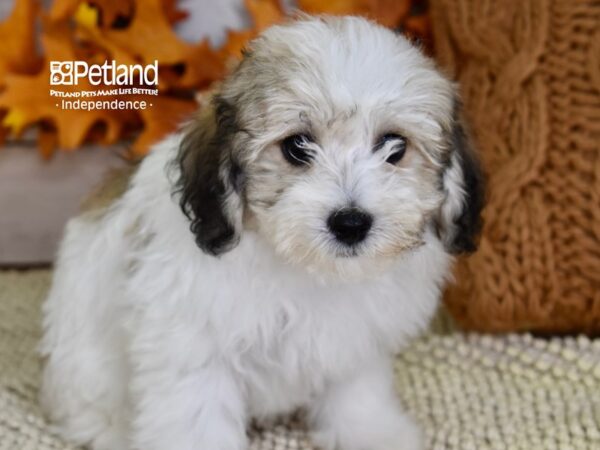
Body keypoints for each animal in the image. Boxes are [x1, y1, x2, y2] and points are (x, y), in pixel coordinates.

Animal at [41, 14, 482, 450]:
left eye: (395, 146)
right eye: (297, 147)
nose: (351, 223)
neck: (306, 269)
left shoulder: (353, 342)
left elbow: (357, 396)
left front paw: (373, 433)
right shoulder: (192, 347)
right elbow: (196, 420)